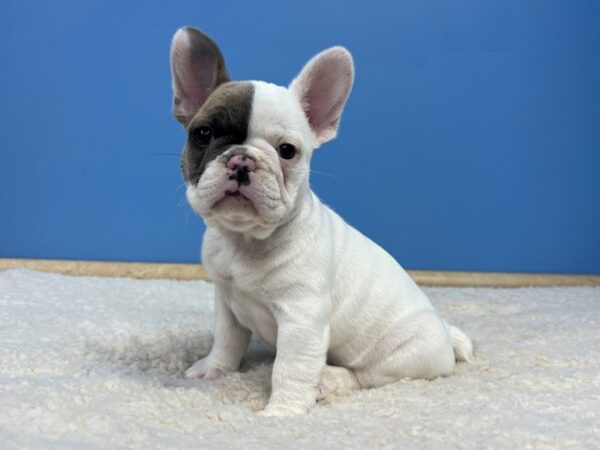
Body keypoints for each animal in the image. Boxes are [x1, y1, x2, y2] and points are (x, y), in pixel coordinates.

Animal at [170, 27, 474, 414]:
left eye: (287, 151)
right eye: (203, 134)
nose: (242, 160)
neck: (246, 240)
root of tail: (445, 334)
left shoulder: (303, 319)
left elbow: (291, 368)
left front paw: (281, 413)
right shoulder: (226, 302)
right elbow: (226, 339)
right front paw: (215, 369)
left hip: (403, 354)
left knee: (365, 376)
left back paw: (329, 380)